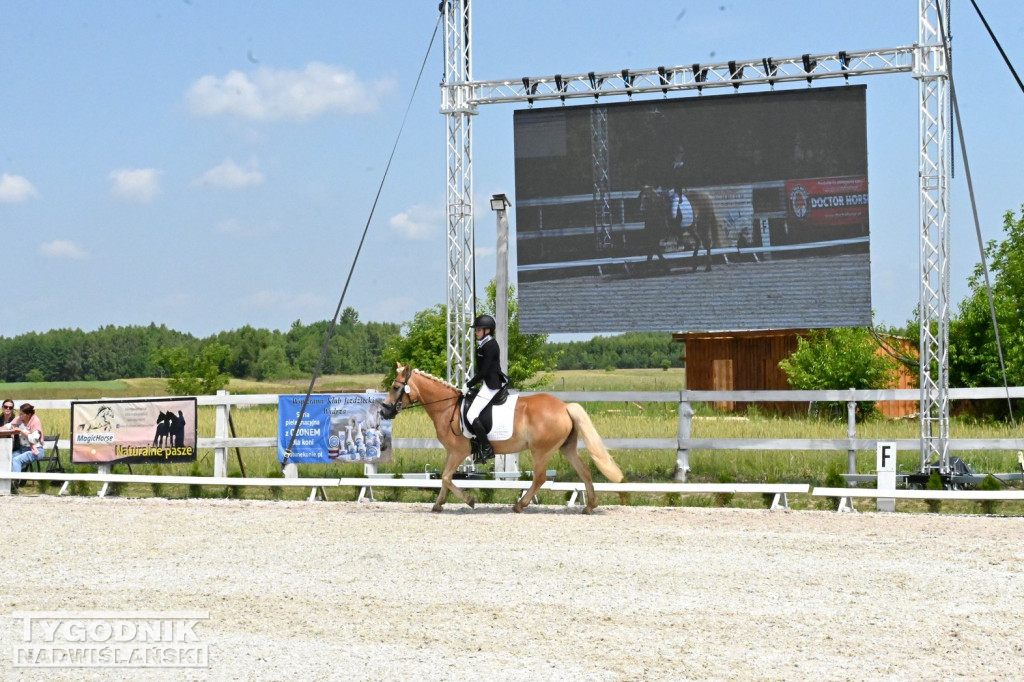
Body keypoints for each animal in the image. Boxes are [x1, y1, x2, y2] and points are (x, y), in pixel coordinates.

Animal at [378, 364, 622, 512]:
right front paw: (438, 505)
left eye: (396, 387)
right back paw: (590, 506)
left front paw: (469, 500)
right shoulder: (452, 452)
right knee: (584, 471)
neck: (447, 407)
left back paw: (520, 505)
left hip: (541, 451)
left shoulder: (459, 451)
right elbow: (444, 478)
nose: (384, 411)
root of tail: (563, 406)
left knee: (540, 477)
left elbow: (446, 477)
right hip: (566, 448)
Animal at [516, 83, 868, 333]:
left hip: (699, 224)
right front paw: (657, 267)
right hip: (694, 226)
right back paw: (697, 264)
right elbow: (652, 251)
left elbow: (653, 251)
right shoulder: (656, 235)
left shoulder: (659, 233)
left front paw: (656, 268)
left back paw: (707, 266)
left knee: (707, 243)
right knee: (700, 243)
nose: (638, 211)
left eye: (645, 200)